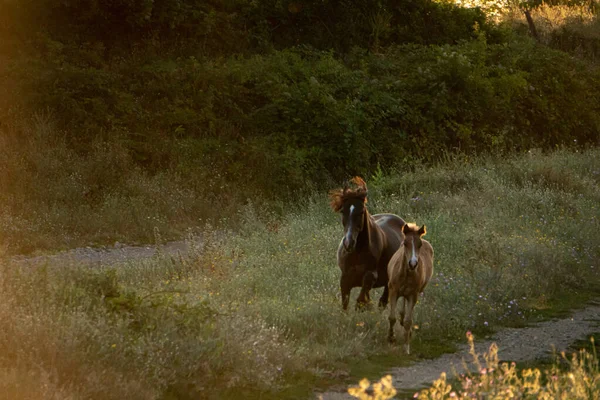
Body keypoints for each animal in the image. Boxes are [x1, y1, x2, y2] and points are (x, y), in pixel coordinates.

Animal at [330, 177, 406, 310]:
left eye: (361, 212)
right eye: (343, 211)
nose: (348, 243)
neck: (357, 253)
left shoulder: (370, 276)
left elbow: (361, 301)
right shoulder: (344, 279)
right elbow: (345, 305)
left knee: (383, 301)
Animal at [386, 223, 434, 354]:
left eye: (419, 244)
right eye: (405, 243)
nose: (413, 264)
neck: (407, 274)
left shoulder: (413, 295)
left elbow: (408, 321)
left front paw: (406, 347)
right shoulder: (393, 291)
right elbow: (392, 318)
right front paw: (391, 338)